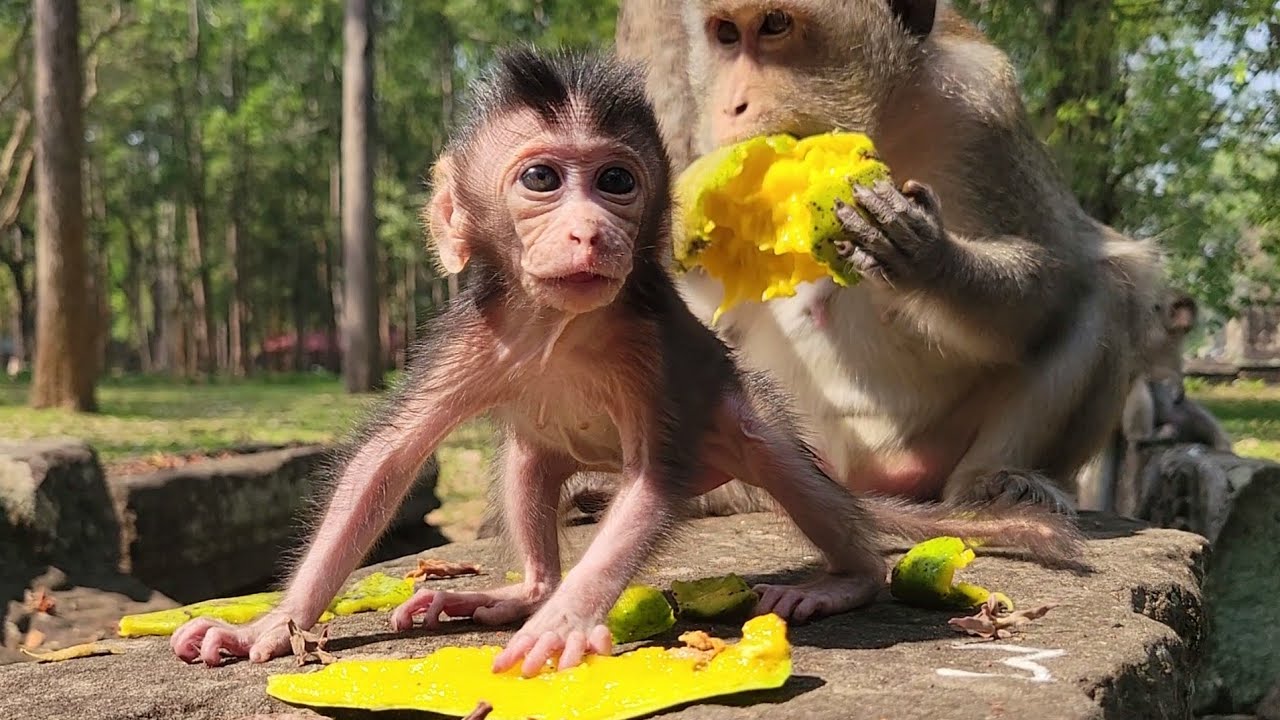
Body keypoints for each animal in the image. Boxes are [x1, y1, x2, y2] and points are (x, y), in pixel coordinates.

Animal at [170, 47, 1081, 678]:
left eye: (615, 181)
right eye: (542, 179)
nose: (590, 232)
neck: (561, 329)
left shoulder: (659, 348)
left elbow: (653, 481)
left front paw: (568, 622)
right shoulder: (475, 329)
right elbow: (385, 463)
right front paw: (267, 624)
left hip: (745, 431)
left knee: (780, 460)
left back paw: (844, 579)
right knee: (527, 457)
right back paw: (521, 592)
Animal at [564, 0, 1162, 521]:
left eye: (775, 25)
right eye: (727, 34)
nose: (732, 104)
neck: (882, 122)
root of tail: (862, 479)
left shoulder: (982, 107)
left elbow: (1052, 276)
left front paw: (926, 256)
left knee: (1112, 284)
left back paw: (1000, 481)